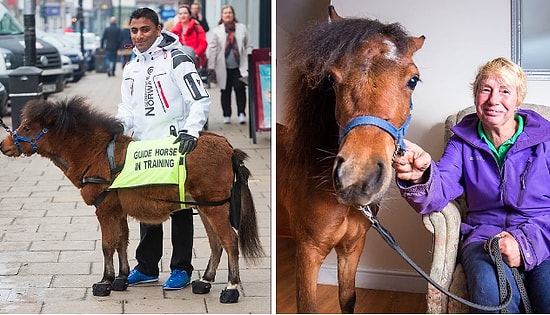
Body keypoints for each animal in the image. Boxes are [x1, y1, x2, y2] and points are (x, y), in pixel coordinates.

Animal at [0, 97, 266, 304]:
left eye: (26, 127)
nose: (4, 145)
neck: (97, 153)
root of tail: (228, 148)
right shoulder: (117, 210)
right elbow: (121, 243)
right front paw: (121, 278)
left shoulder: (105, 210)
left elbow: (108, 245)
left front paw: (105, 281)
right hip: (204, 208)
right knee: (215, 242)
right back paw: (205, 281)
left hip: (214, 209)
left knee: (230, 241)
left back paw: (231, 288)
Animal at [276, 6, 426, 314]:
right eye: (331, 79)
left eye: (413, 80)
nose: (357, 178)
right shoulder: (307, 253)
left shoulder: (353, 247)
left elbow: (347, 299)